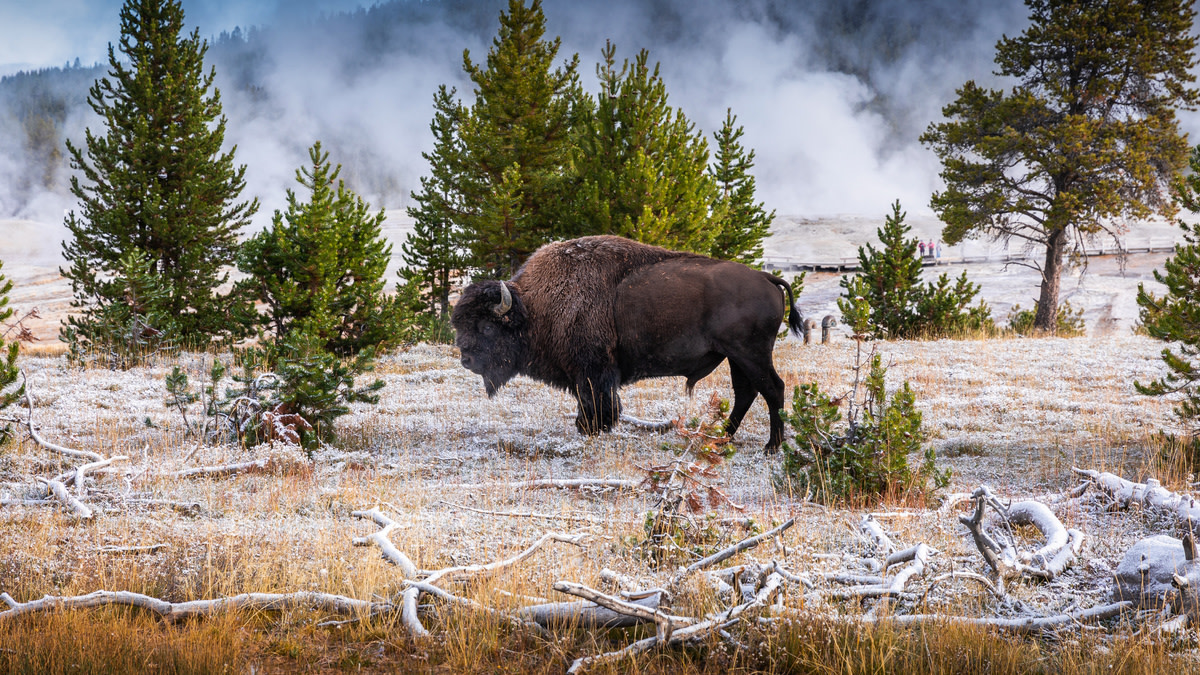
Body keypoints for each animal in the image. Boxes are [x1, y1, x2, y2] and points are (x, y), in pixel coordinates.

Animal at [452, 235, 802, 450]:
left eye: (486, 327)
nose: (466, 360)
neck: (533, 306)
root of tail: (766, 277)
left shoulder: (593, 370)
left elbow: (597, 400)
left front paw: (593, 427)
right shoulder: (586, 372)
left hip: (751, 354)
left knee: (773, 388)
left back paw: (771, 447)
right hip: (735, 357)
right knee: (746, 393)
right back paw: (720, 438)